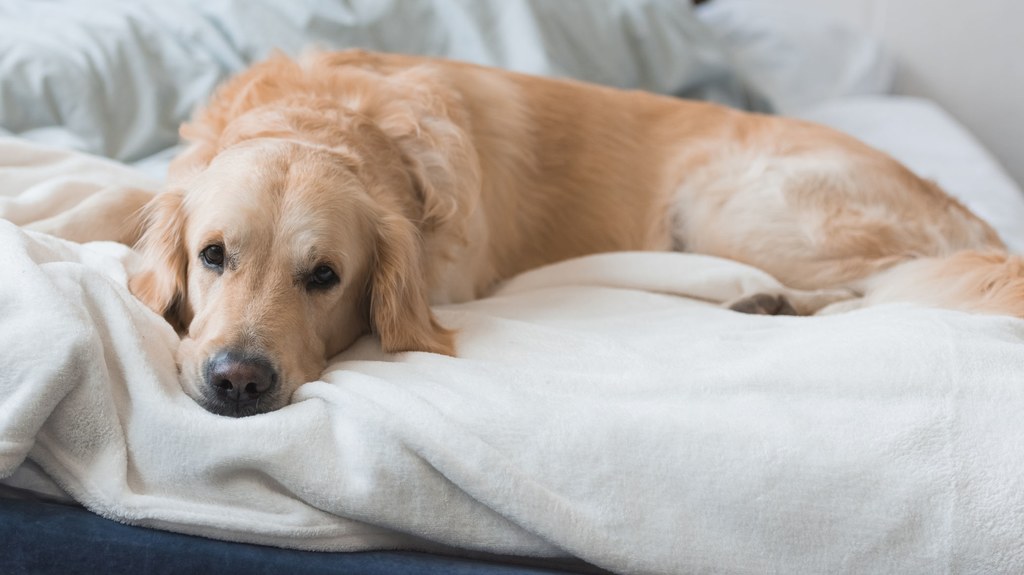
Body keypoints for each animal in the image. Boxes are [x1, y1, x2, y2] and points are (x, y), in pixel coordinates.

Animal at [39, 49, 1024, 413]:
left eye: (325, 277)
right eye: (213, 256)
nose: (238, 380)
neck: (341, 121)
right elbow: (109, 202)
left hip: (734, 199)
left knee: (884, 287)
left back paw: (770, 300)